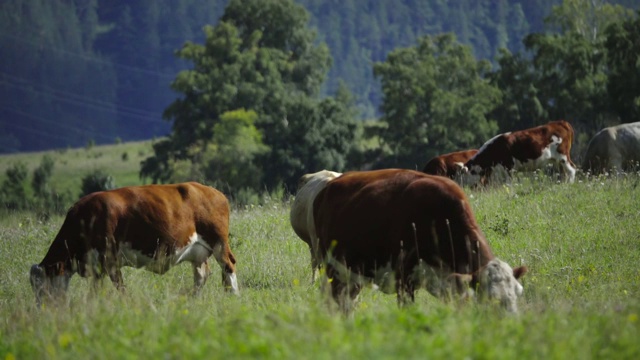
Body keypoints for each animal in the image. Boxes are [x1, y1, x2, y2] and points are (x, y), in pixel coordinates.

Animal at [28, 181, 239, 306]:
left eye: (40, 286)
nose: (41, 309)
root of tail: (213, 191)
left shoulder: (109, 259)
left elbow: (119, 286)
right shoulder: (97, 267)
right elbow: (97, 289)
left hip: (219, 243)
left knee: (229, 266)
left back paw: (234, 296)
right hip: (199, 253)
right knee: (201, 276)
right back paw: (191, 300)